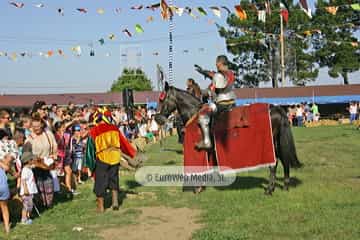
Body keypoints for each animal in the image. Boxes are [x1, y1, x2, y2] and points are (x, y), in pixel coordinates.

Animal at [156, 82, 302, 195]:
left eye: (162, 99)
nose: (158, 118)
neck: (194, 113)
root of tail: (275, 108)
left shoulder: (201, 150)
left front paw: (199, 188)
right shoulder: (212, 151)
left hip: (269, 143)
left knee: (274, 162)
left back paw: (269, 190)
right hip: (276, 141)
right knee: (283, 159)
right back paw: (285, 186)